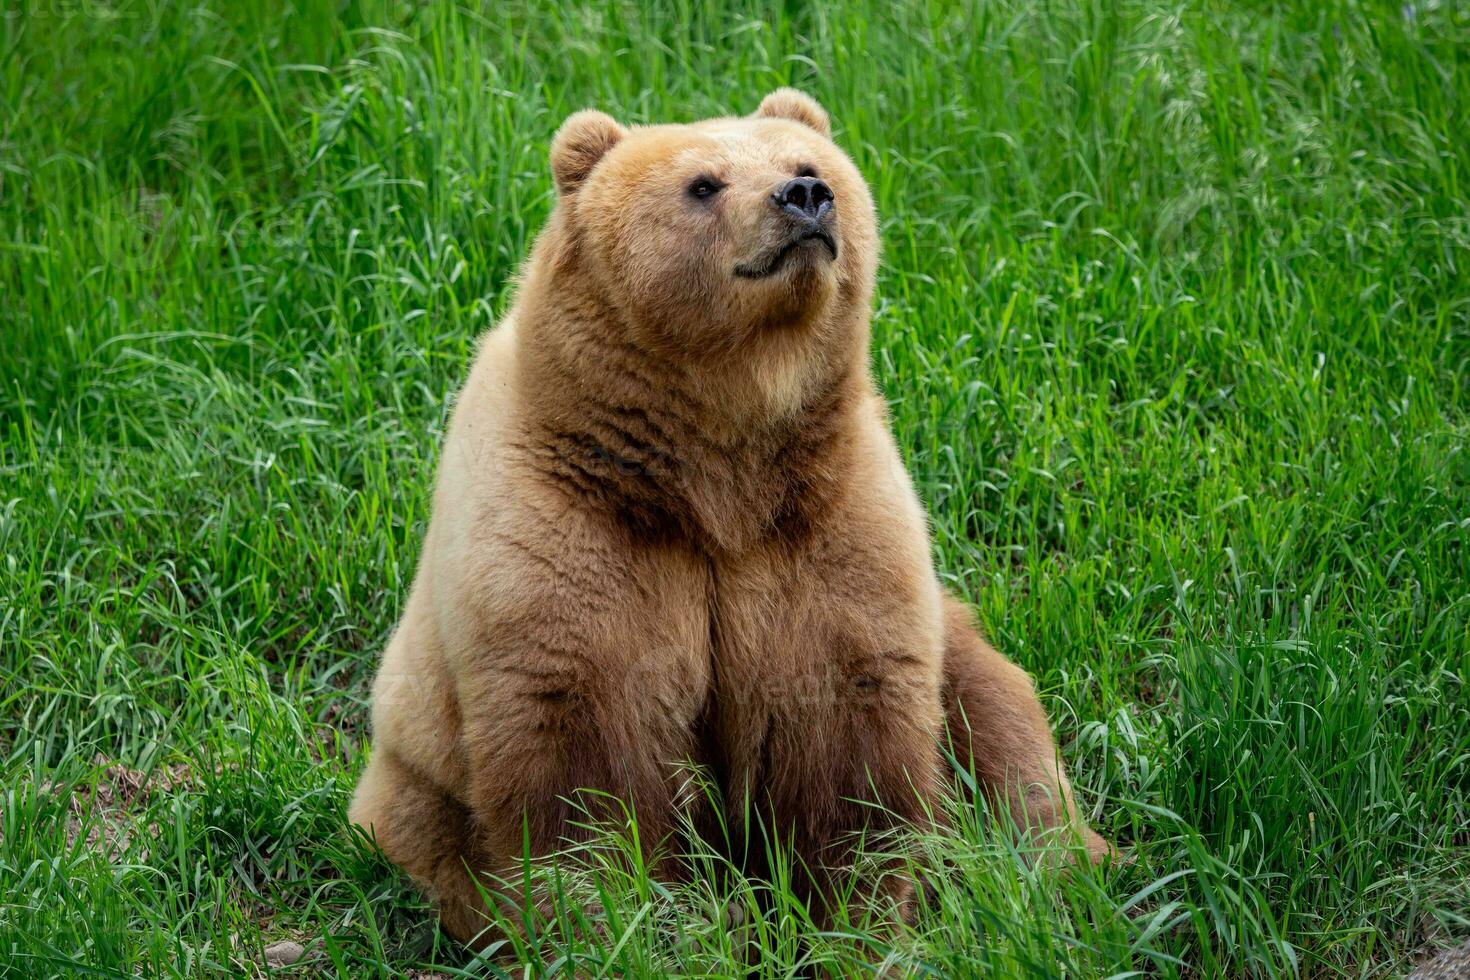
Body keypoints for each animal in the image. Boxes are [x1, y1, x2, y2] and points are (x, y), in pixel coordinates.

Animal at [349, 88, 1105, 946]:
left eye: (805, 162)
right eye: (703, 184)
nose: (805, 197)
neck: (717, 472)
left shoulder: (825, 525)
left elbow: (847, 738)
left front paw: (850, 921)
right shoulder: (570, 532)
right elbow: (588, 762)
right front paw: (627, 920)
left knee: (1005, 731)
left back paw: (1056, 868)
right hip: (415, 785)